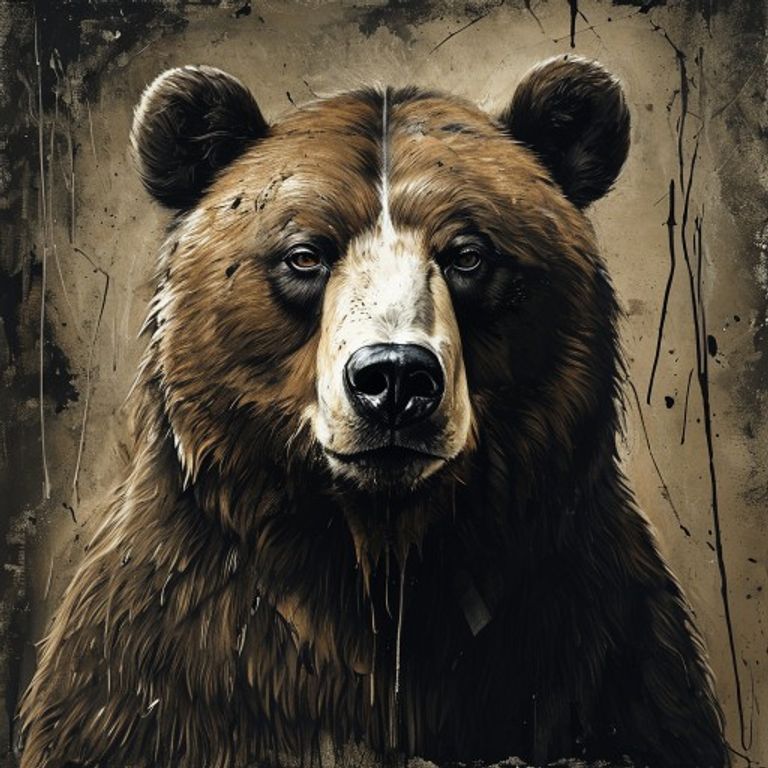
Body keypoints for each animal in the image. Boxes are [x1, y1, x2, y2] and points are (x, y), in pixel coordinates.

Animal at [19, 57, 727, 768]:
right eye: (306, 253)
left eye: (468, 253)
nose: (394, 377)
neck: (381, 566)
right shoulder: (172, 663)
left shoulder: (595, 647)